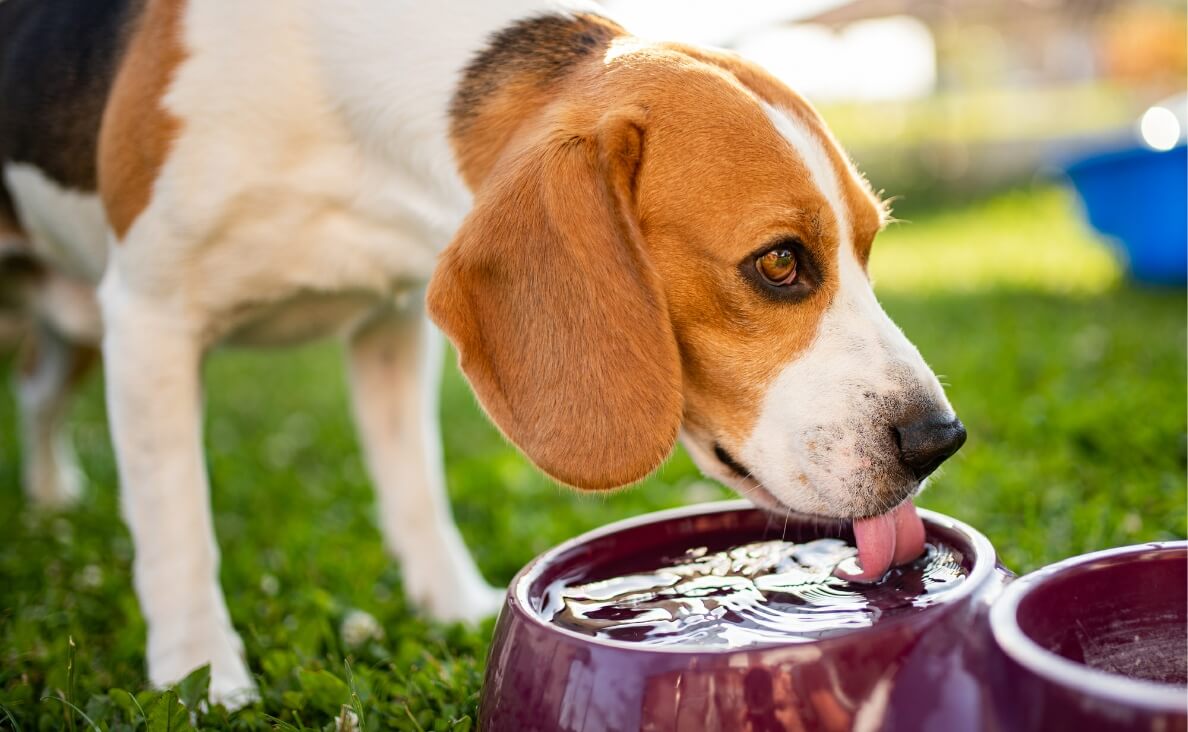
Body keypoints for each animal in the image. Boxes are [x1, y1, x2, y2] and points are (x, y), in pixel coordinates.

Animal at [0, 0, 964, 708]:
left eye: (869, 246)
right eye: (779, 263)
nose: (939, 440)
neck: (337, 106)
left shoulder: (390, 323)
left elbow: (416, 487)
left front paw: (453, 607)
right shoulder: (151, 316)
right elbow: (176, 527)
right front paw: (202, 680)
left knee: (39, 398)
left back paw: (50, 497)